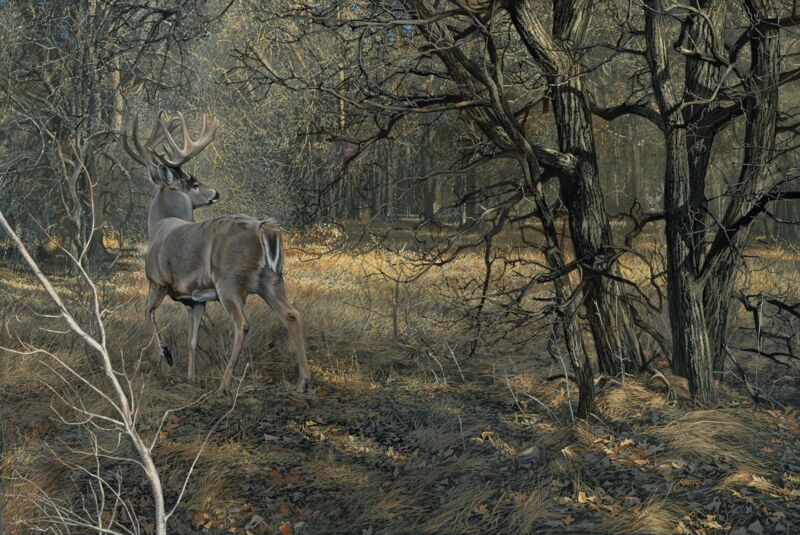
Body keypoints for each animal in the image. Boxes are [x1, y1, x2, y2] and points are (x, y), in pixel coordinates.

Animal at [121, 110, 311, 393]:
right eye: (194, 183)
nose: (215, 193)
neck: (158, 227)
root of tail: (264, 228)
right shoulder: (193, 299)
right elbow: (191, 339)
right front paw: (190, 379)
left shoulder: (157, 280)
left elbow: (147, 313)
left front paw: (166, 355)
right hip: (272, 279)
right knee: (292, 314)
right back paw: (304, 381)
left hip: (229, 282)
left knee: (241, 324)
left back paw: (224, 384)